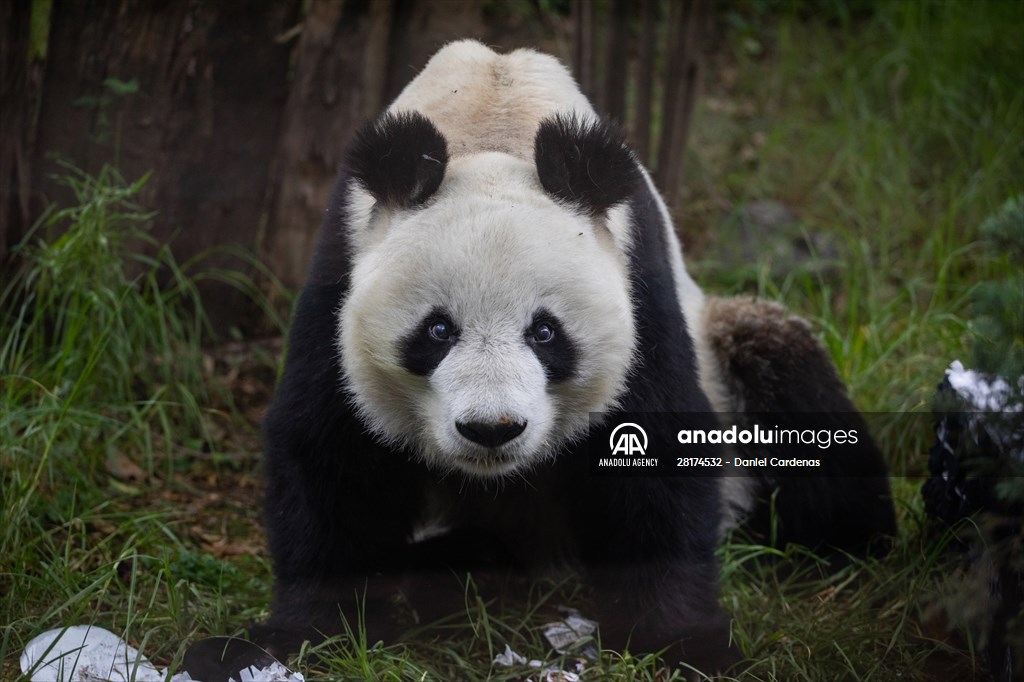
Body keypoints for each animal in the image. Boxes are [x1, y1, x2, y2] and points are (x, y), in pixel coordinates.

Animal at [258, 39, 897, 671]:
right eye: (437, 330)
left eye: (545, 333)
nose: (492, 429)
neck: (492, 118)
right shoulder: (339, 271)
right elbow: (331, 456)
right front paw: (316, 636)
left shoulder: (641, 282)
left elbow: (660, 457)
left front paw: (683, 644)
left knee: (792, 388)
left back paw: (845, 547)